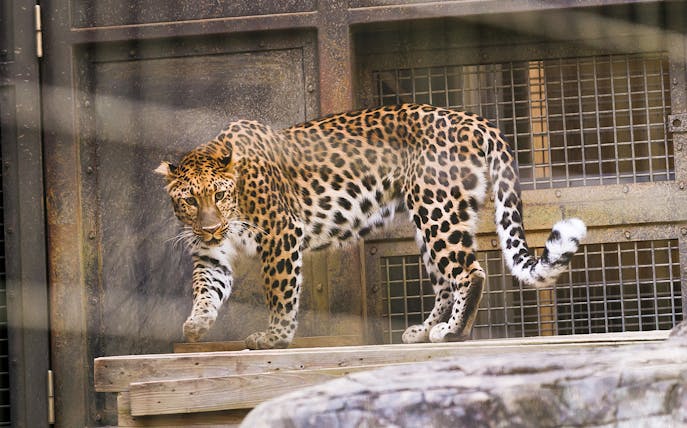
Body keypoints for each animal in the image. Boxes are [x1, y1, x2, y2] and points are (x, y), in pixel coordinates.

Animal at [156, 104, 587, 349]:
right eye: (190, 201)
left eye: (219, 194)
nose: (212, 229)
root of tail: (470, 119)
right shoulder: (211, 255)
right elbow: (206, 288)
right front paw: (197, 324)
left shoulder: (281, 235)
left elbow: (279, 292)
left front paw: (274, 338)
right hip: (431, 217)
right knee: (445, 282)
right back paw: (425, 330)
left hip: (436, 209)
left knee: (469, 272)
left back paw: (452, 332)